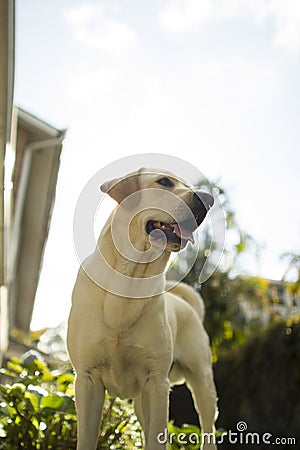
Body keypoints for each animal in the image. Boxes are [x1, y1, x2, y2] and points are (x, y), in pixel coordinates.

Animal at [67, 168, 218, 450]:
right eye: (164, 182)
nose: (208, 198)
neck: (131, 277)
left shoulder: (156, 382)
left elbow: (157, 438)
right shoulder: (87, 379)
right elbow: (86, 438)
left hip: (203, 384)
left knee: (208, 428)